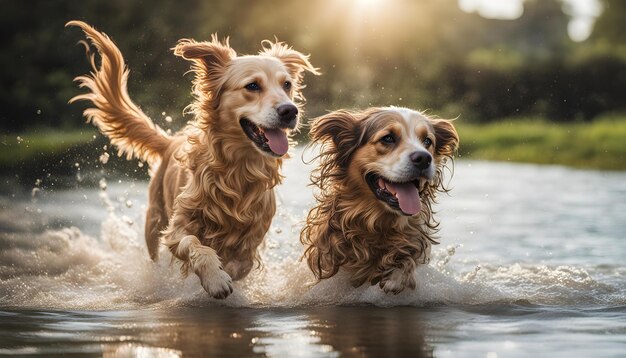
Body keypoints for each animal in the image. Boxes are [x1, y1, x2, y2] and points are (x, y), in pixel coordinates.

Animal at [68, 21, 316, 298]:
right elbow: (194, 243)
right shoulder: (176, 227)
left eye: (287, 85)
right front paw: (215, 278)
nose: (290, 111)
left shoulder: (253, 236)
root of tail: (170, 141)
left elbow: (242, 262)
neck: (236, 170)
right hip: (154, 224)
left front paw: (227, 272)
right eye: (252, 86)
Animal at [300, 107, 456, 296]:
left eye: (427, 141)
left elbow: (407, 258)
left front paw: (397, 277)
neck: (376, 223)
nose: (424, 158)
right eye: (388, 138)